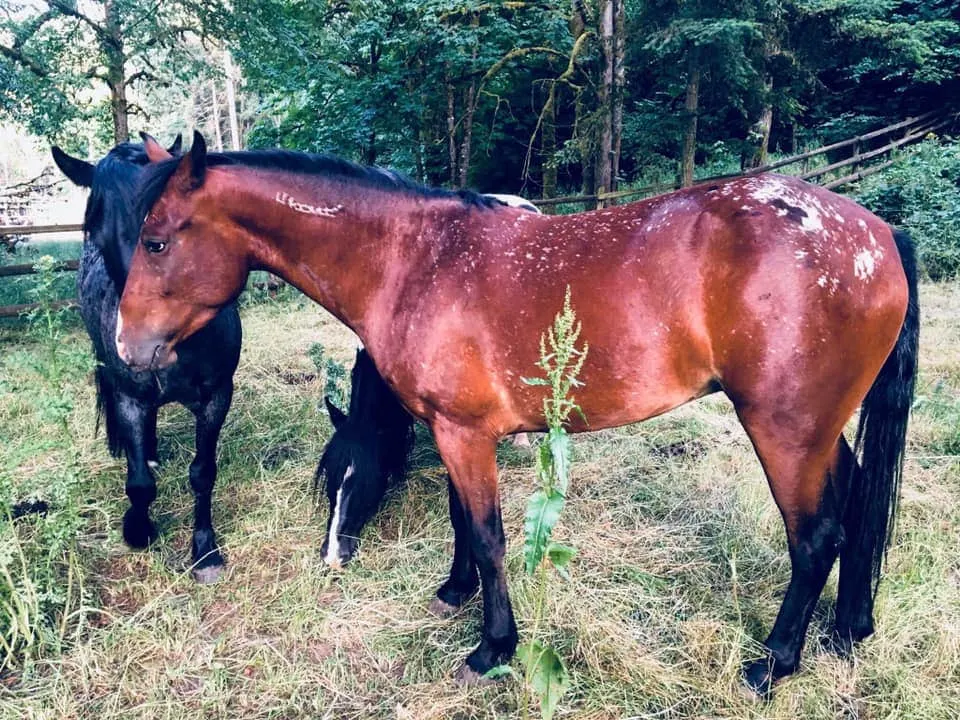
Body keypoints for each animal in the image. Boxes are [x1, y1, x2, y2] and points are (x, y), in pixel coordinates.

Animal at [51, 138, 244, 584]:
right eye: (97, 234)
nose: (141, 345)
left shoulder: (217, 396)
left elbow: (202, 473)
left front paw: (205, 550)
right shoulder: (129, 398)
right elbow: (140, 483)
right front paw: (138, 529)